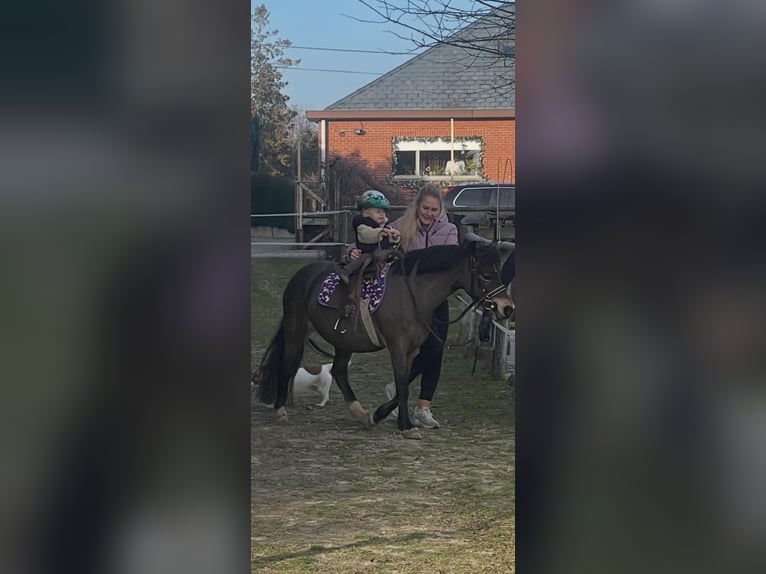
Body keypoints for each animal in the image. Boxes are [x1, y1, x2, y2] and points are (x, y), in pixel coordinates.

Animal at [255, 239, 514, 439]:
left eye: (499, 271)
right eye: (486, 275)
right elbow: (402, 384)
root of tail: (302, 276)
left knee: (339, 371)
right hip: (296, 330)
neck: (412, 295)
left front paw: (381, 414)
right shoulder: (397, 346)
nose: (507, 308)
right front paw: (406, 426)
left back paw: (361, 414)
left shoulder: (411, 349)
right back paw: (280, 410)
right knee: (287, 366)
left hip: (343, 341)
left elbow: (406, 382)